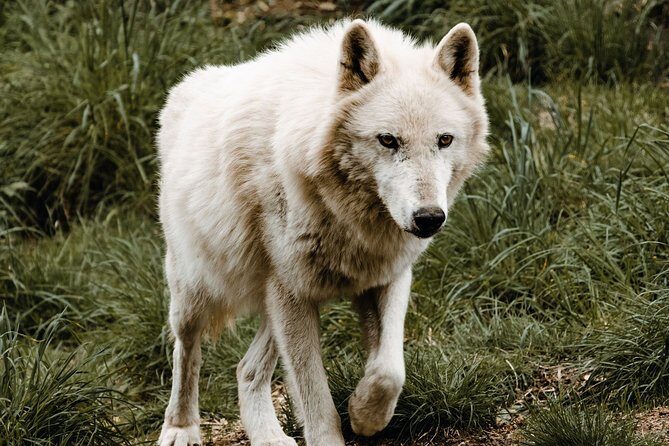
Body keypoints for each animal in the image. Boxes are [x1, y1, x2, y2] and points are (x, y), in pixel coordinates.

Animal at [157, 18, 489, 446]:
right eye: (388, 140)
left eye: (444, 140)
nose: (429, 218)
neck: (349, 221)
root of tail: (186, 87)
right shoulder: (293, 294)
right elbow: (316, 400)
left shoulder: (387, 276)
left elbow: (389, 371)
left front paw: (365, 415)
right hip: (198, 291)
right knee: (186, 352)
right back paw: (180, 428)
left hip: (273, 301)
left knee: (246, 369)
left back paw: (270, 437)